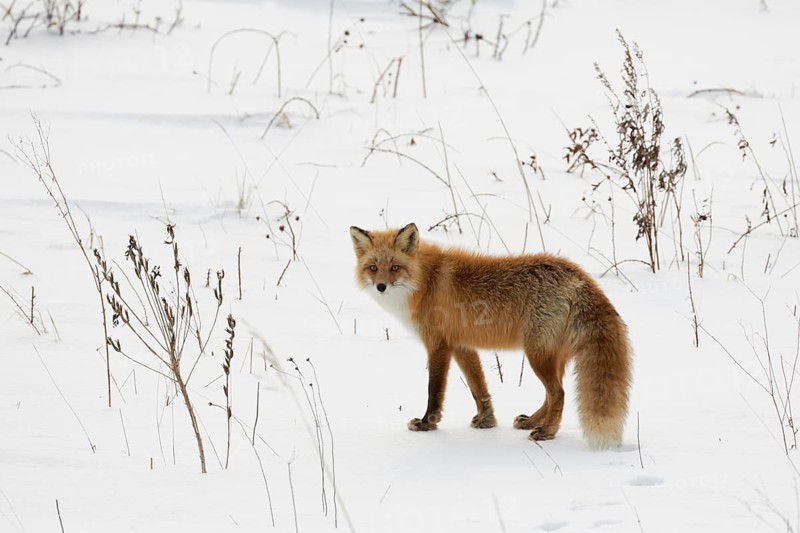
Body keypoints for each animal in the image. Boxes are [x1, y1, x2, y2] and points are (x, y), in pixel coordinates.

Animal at [349, 222, 632, 449]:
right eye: (373, 267)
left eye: (395, 267)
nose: (381, 286)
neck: (425, 281)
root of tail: (578, 275)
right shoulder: (461, 345)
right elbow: (478, 387)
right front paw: (487, 421)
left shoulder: (438, 344)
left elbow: (434, 390)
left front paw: (427, 423)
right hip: (551, 355)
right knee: (551, 394)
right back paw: (532, 421)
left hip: (537, 354)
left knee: (558, 394)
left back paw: (547, 432)